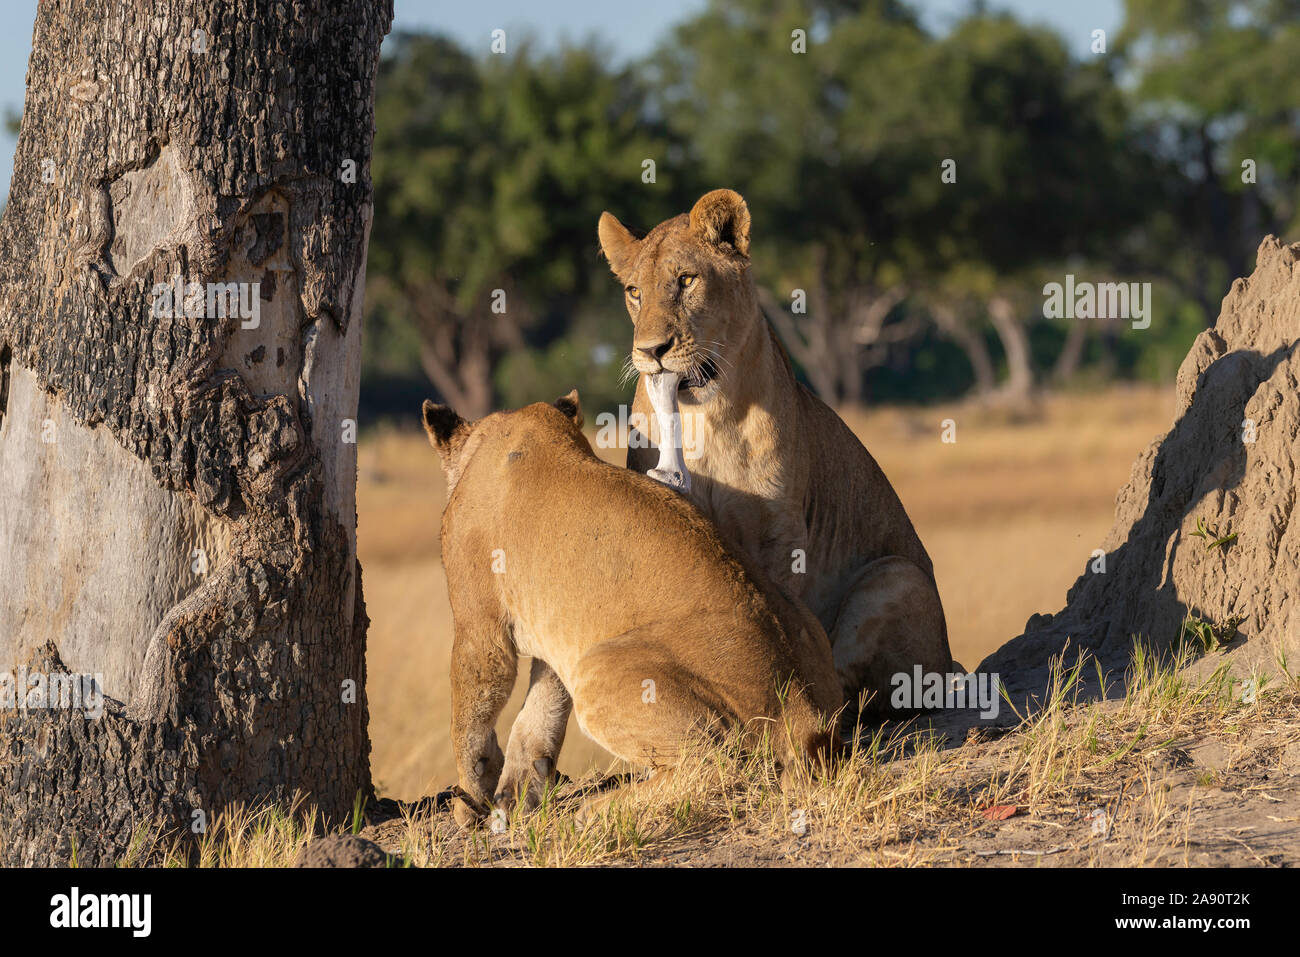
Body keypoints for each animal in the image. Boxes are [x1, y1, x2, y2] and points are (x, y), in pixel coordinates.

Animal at [422, 391, 841, 827]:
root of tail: (801, 706)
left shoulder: (481, 629)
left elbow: (470, 721)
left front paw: (470, 802)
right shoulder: (559, 639)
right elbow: (538, 715)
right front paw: (514, 798)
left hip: (597, 670)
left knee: (718, 765)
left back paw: (596, 810)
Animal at [597, 188, 954, 717]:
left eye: (686, 280)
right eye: (634, 292)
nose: (651, 350)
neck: (707, 416)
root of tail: (952, 661)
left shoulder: (780, 533)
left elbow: (776, 615)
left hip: (898, 574)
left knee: (860, 685)